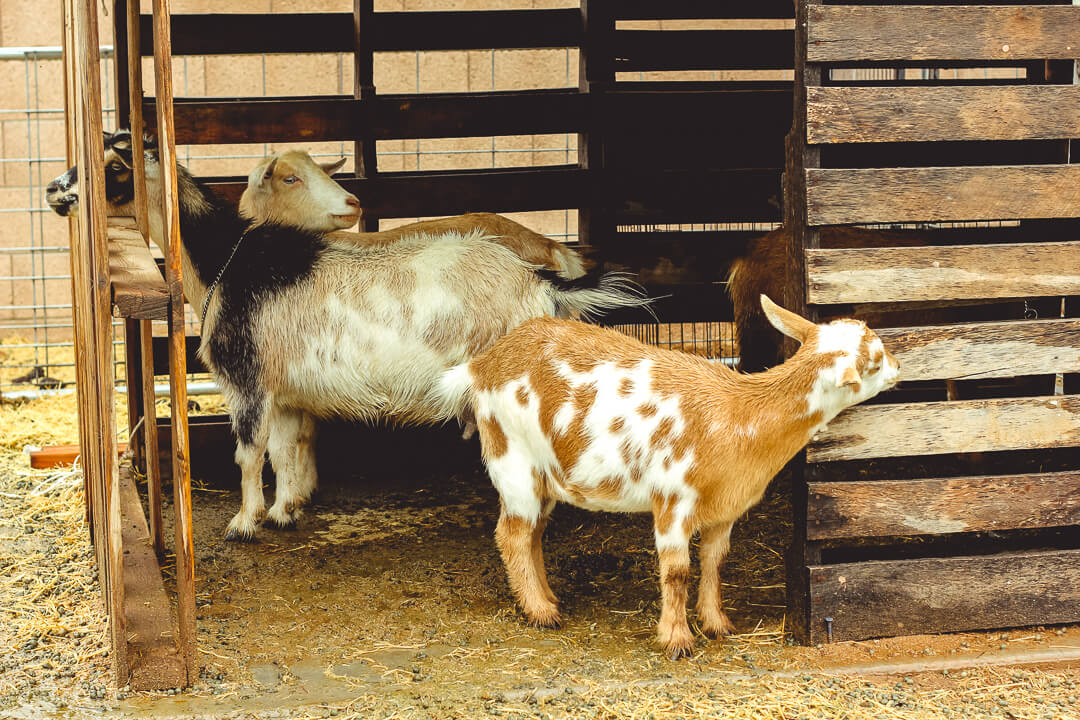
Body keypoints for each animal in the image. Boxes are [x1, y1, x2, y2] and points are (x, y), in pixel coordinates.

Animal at [434, 297, 898, 660]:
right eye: (874, 361)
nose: (898, 365)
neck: (739, 415)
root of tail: (481, 366)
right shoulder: (673, 501)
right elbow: (677, 572)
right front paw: (677, 640)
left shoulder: (725, 508)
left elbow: (715, 561)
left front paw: (716, 623)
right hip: (512, 460)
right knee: (512, 534)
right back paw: (540, 613)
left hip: (544, 475)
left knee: (532, 533)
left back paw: (547, 598)